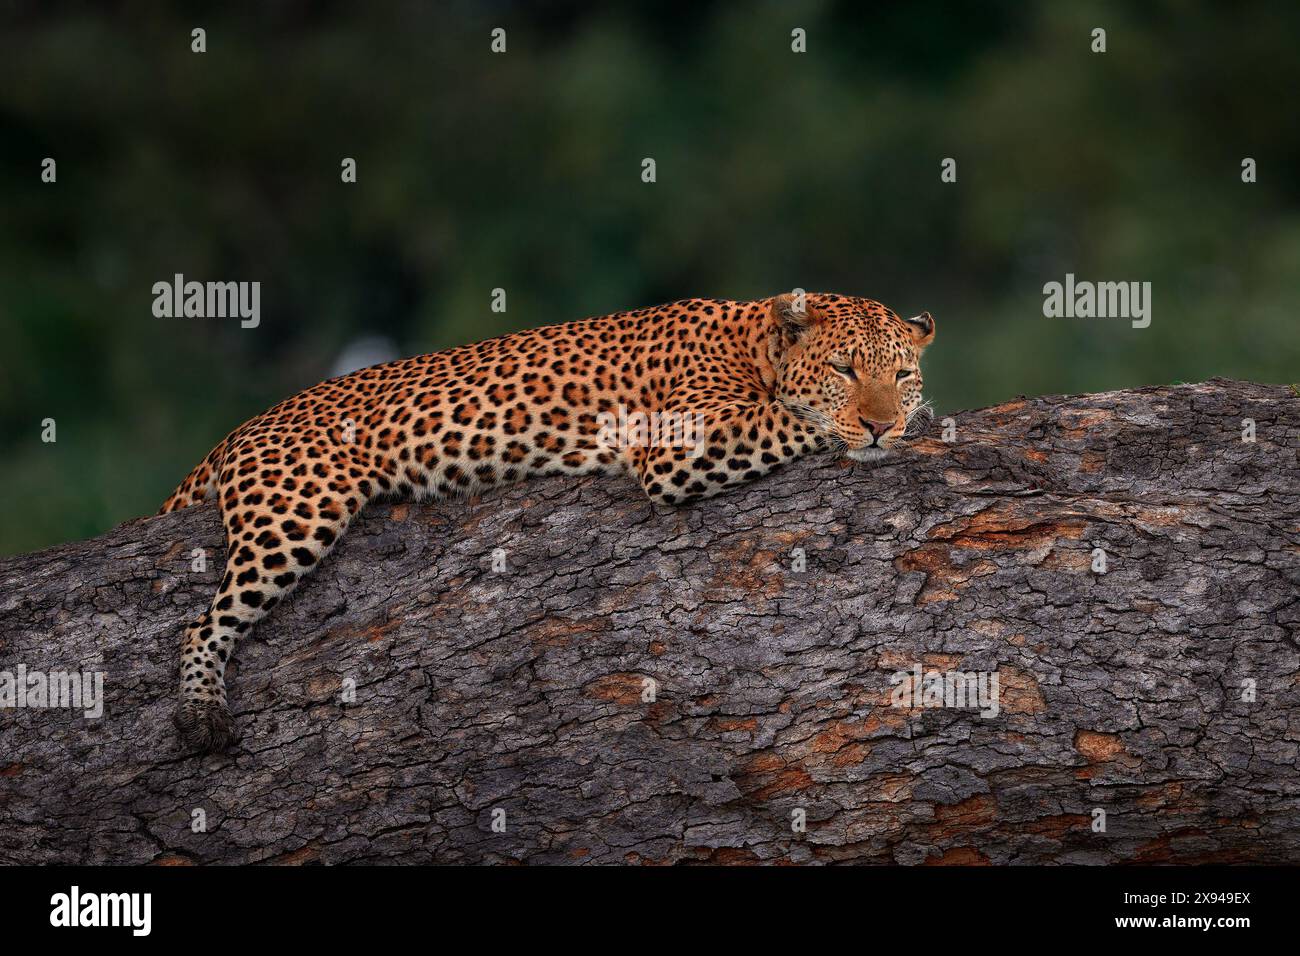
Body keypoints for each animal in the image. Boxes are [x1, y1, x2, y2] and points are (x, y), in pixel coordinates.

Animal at [159, 293, 935, 754]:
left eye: (900, 374)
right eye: (843, 368)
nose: (880, 424)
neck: (755, 341)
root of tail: (238, 432)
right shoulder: (677, 443)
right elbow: (792, 419)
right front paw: (869, 429)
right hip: (297, 507)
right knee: (203, 622)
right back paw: (201, 713)